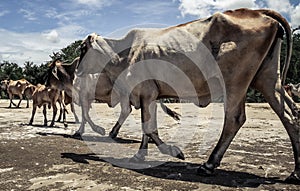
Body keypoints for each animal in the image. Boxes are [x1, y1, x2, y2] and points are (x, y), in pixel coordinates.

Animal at [77, 8, 300, 182]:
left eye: (82, 48)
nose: (77, 71)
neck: (123, 55)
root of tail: (258, 12)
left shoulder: (146, 91)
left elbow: (148, 128)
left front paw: (174, 151)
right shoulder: (150, 96)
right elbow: (147, 128)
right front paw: (140, 155)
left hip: (235, 82)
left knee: (234, 119)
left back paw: (209, 165)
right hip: (267, 79)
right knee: (289, 116)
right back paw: (296, 172)